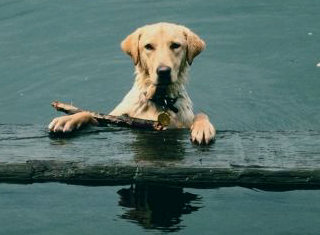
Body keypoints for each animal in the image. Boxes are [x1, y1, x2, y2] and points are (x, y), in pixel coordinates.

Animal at [48, 22, 216, 143]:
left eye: (175, 45)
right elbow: (91, 115)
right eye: (148, 46)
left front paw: (202, 127)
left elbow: (201, 114)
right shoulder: (114, 121)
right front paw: (69, 119)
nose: (163, 71)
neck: (159, 100)